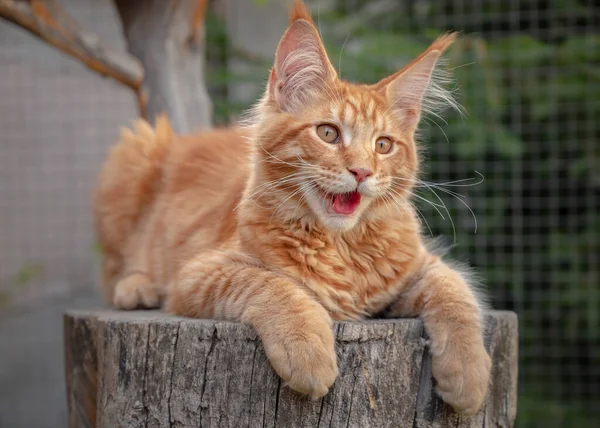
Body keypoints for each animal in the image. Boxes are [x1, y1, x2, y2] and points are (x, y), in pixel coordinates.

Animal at [92, 0, 488, 414]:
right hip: (133, 156)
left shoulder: (416, 269)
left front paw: (469, 374)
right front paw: (307, 350)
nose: (362, 171)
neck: (341, 247)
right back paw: (137, 287)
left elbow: (457, 293)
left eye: (383, 145)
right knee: (115, 268)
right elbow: (271, 284)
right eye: (328, 133)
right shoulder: (198, 273)